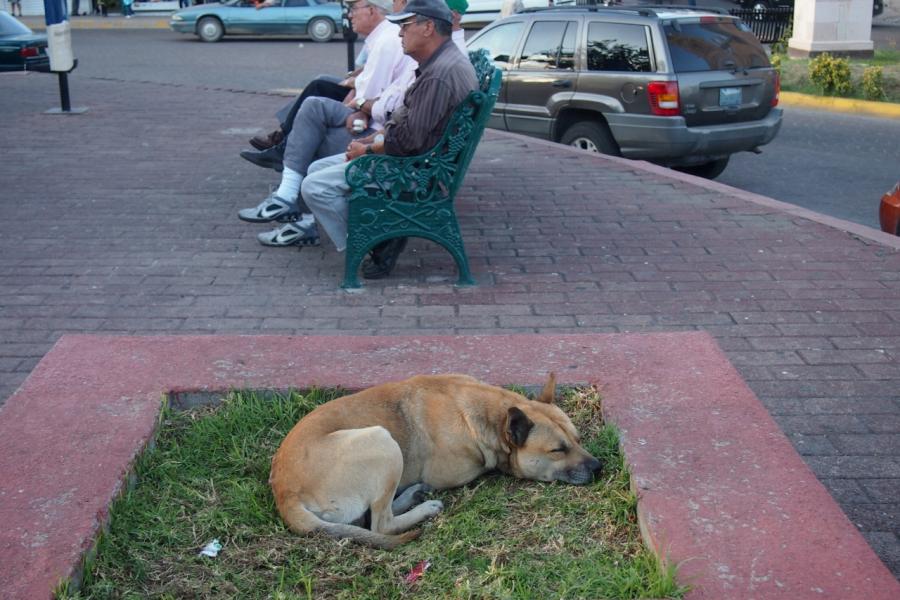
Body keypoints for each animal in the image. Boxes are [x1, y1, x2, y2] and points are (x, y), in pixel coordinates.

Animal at [270, 372, 600, 552]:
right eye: (557, 450)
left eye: (578, 439)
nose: (600, 467)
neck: (487, 414)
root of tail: (285, 494)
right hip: (383, 442)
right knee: (381, 523)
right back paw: (424, 507)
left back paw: (414, 495)